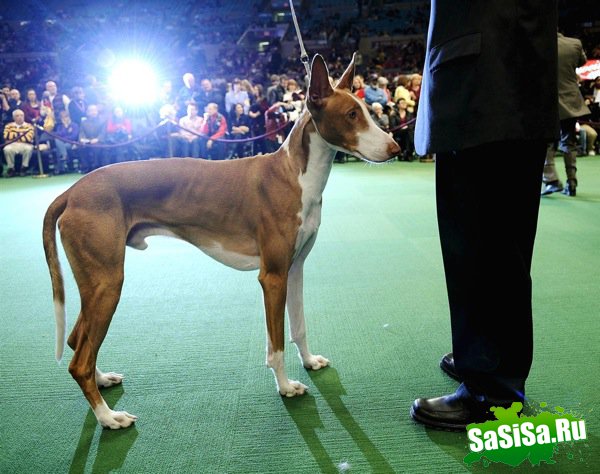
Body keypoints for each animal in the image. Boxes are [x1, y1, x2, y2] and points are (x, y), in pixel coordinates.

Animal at [44, 53, 400, 428]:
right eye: (351, 115)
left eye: (367, 110)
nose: (396, 148)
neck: (295, 176)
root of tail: (71, 192)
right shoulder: (272, 277)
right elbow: (275, 344)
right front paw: (286, 387)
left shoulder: (295, 268)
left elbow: (299, 327)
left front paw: (309, 361)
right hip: (107, 282)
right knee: (80, 359)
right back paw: (108, 417)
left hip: (96, 283)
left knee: (78, 341)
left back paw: (102, 381)